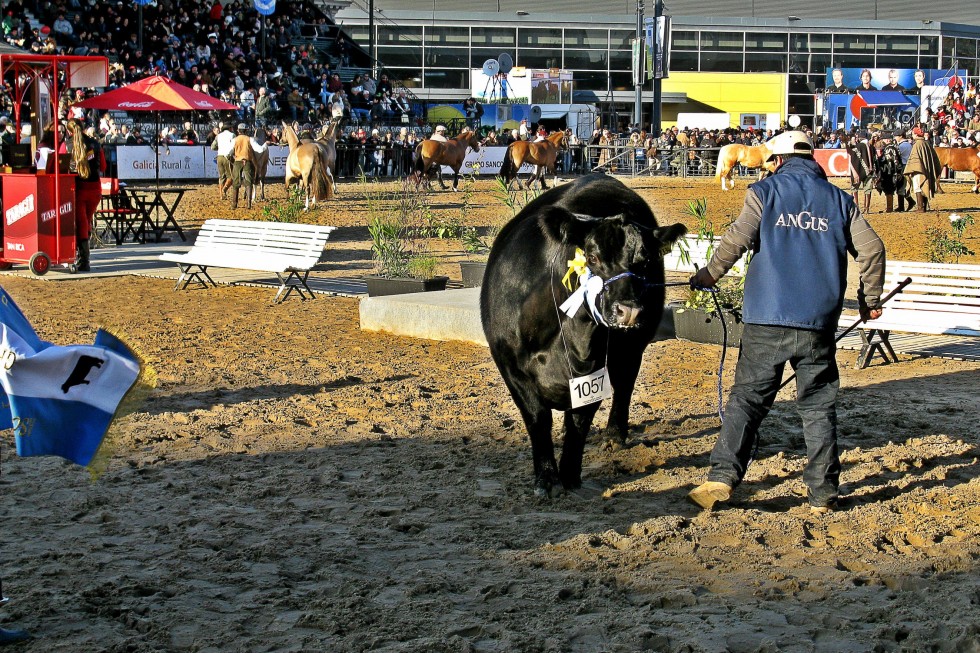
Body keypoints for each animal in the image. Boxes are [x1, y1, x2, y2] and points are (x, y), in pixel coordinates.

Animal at [480, 173, 680, 494]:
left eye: (644, 262)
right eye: (593, 257)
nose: (629, 311)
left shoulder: (597, 367)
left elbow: (581, 420)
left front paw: (570, 475)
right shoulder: (511, 366)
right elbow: (538, 418)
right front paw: (546, 477)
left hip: (632, 349)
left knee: (625, 386)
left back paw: (614, 435)